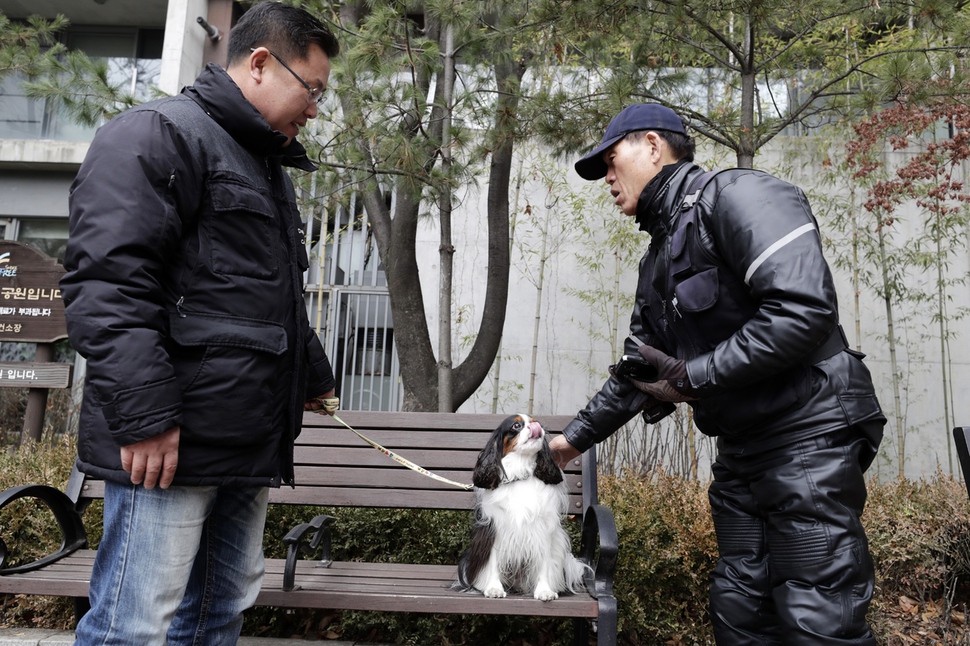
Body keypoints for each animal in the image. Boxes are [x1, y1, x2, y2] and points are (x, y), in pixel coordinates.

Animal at [456, 416, 588, 604]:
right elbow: (493, 561)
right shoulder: (494, 528)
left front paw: (544, 590)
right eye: (516, 425)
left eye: (535, 421)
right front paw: (494, 588)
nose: (535, 426)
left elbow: (544, 563)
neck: (520, 472)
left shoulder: (544, 530)